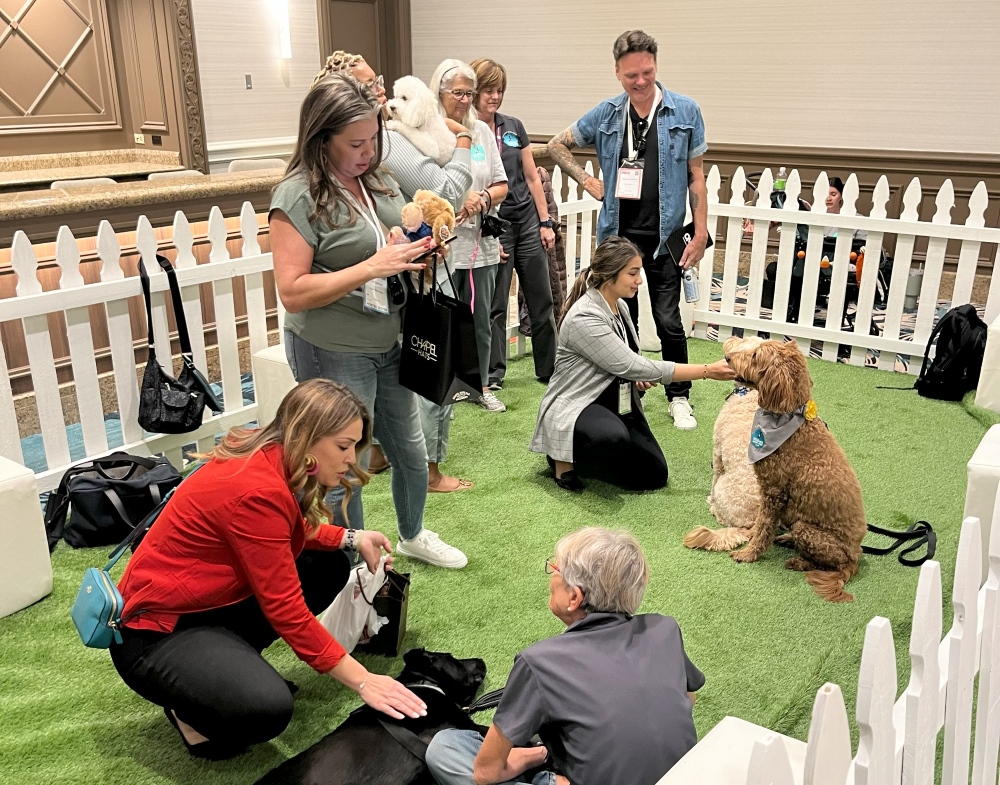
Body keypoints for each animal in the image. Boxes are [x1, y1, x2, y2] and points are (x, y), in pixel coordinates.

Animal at [720, 336, 868, 600]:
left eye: (755, 355)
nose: (727, 357)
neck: (788, 419)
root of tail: (855, 558)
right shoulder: (766, 491)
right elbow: (759, 523)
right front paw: (749, 535)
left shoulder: (774, 492)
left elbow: (764, 528)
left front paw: (748, 553)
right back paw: (788, 540)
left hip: (809, 531)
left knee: (829, 564)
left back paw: (798, 561)